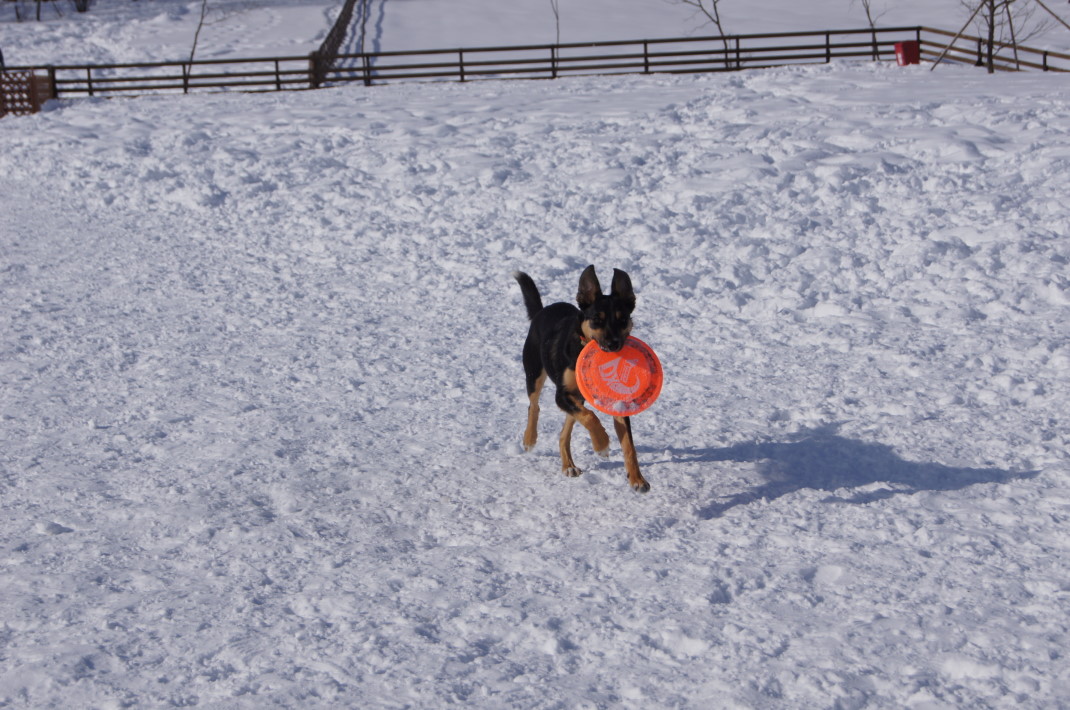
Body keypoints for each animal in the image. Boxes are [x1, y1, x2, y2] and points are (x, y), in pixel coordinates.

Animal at [511, 266, 646, 494]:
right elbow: (591, 417)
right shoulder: (562, 395)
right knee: (534, 406)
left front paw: (637, 479)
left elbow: (628, 445)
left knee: (564, 432)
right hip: (534, 373)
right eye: (596, 319)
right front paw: (602, 445)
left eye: (622, 319)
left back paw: (569, 465)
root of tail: (541, 311)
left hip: (577, 397)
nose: (614, 344)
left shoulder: (615, 402)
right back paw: (529, 439)